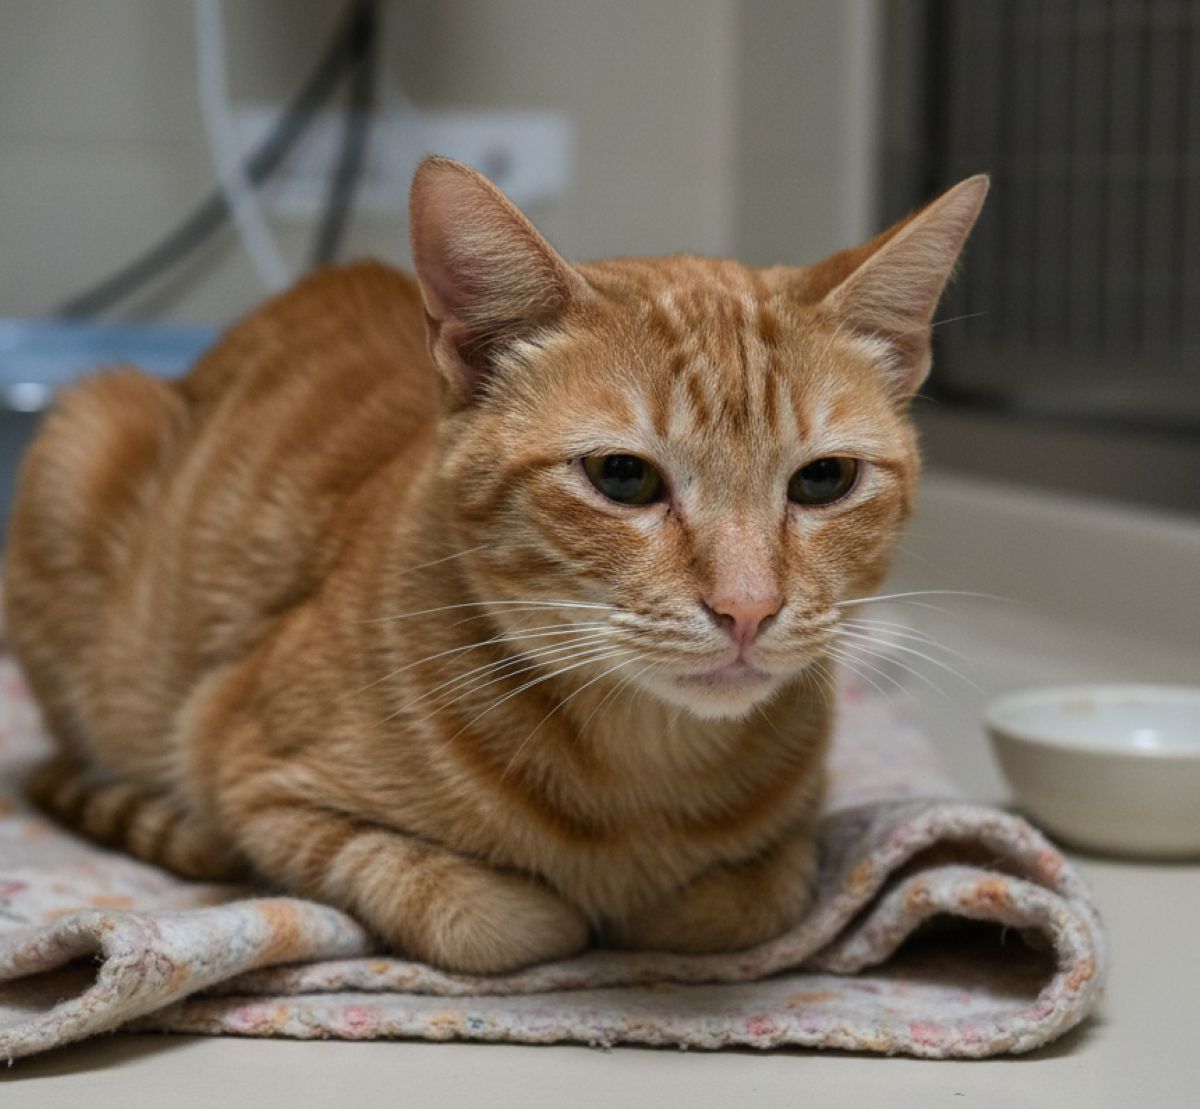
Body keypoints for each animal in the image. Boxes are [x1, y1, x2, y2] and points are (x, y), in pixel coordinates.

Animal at [4, 157, 986, 973]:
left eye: (823, 480)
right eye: (622, 477)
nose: (748, 607)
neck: (645, 768)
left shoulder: (793, 841)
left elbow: (755, 897)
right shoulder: (248, 771)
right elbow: (484, 916)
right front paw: (566, 915)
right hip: (84, 435)